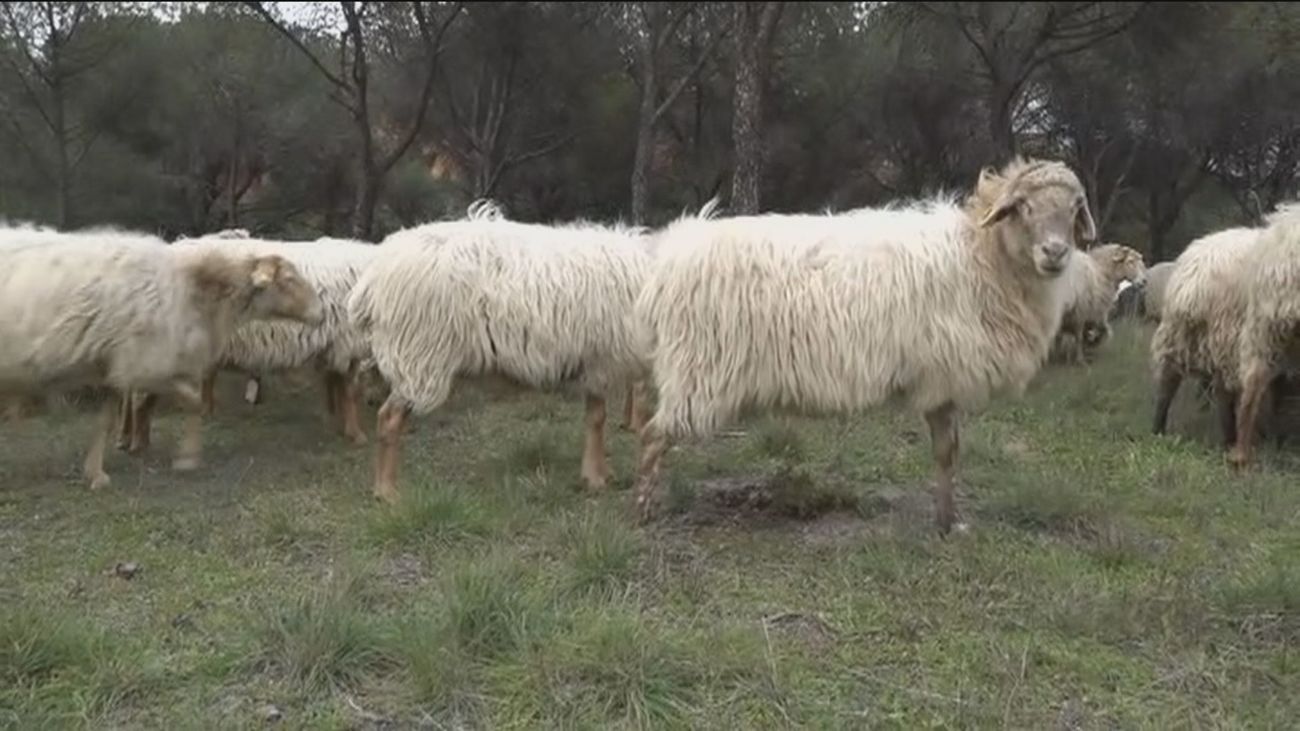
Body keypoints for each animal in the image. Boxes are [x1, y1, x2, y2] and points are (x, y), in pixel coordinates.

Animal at [0, 223, 323, 489]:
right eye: (288, 279)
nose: (319, 311)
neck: (194, 290)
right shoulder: (147, 365)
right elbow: (192, 402)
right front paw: (187, 459)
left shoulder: (118, 367)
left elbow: (105, 420)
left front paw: (96, 473)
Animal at [118, 234, 377, 454]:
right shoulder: (347, 342)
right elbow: (349, 390)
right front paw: (356, 434)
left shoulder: (336, 344)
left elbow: (334, 384)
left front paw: (335, 419)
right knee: (139, 393)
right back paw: (138, 442)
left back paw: (126, 438)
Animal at [347, 213, 652, 503]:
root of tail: (372, 280)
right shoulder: (600, 362)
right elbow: (597, 420)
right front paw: (595, 478)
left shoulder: (595, 364)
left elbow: (596, 418)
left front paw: (600, 474)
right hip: (419, 355)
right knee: (389, 419)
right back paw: (387, 492)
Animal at [630, 157, 1094, 535]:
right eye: (1024, 207)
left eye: (1075, 208)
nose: (1055, 253)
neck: (981, 256)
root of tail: (668, 259)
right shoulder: (942, 377)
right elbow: (947, 453)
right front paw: (947, 525)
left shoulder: (941, 379)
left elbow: (949, 452)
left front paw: (949, 520)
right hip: (698, 373)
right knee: (653, 434)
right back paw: (644, 511)